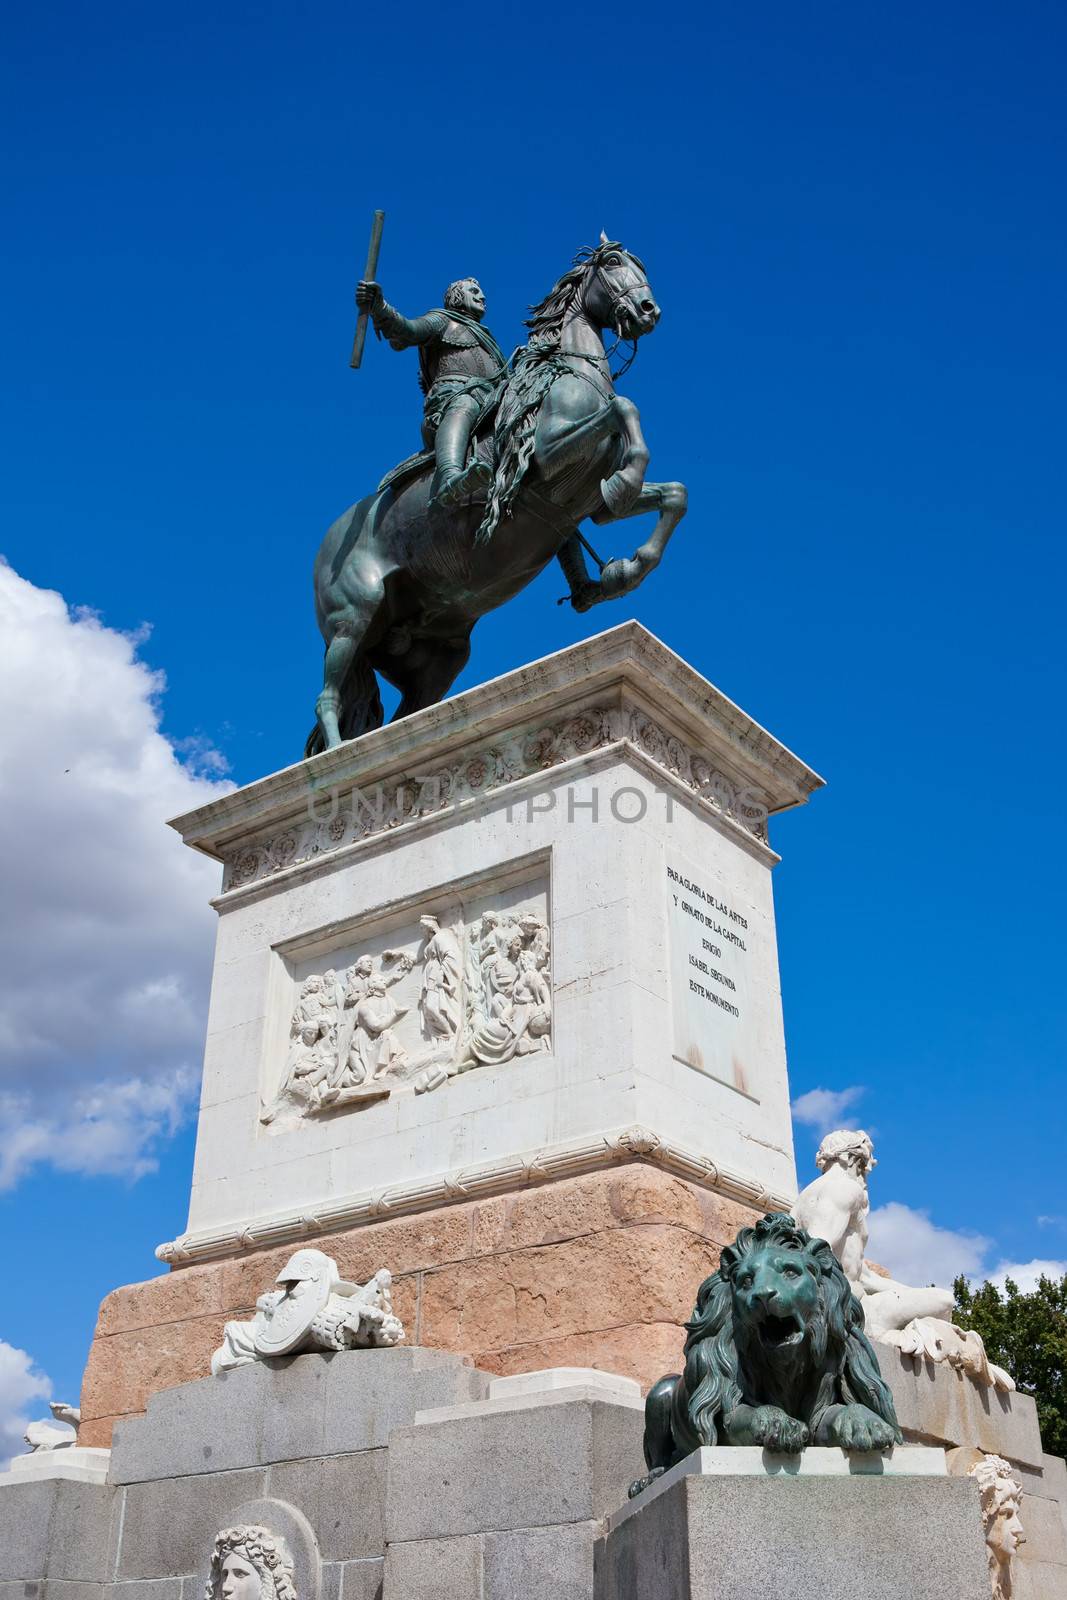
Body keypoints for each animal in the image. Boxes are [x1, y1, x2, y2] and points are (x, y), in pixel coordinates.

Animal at [308, 243, 694, 755]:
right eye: (613, 264)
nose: (649, 310)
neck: (570, 373)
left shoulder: (586, 506)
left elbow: (673, 495)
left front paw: (627, 569)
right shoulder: (546, 457)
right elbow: (623, 407)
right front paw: (628, 478)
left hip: (439, 657)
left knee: (403, 714)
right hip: (354, 616)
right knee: (328, 697)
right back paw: (339, 754)